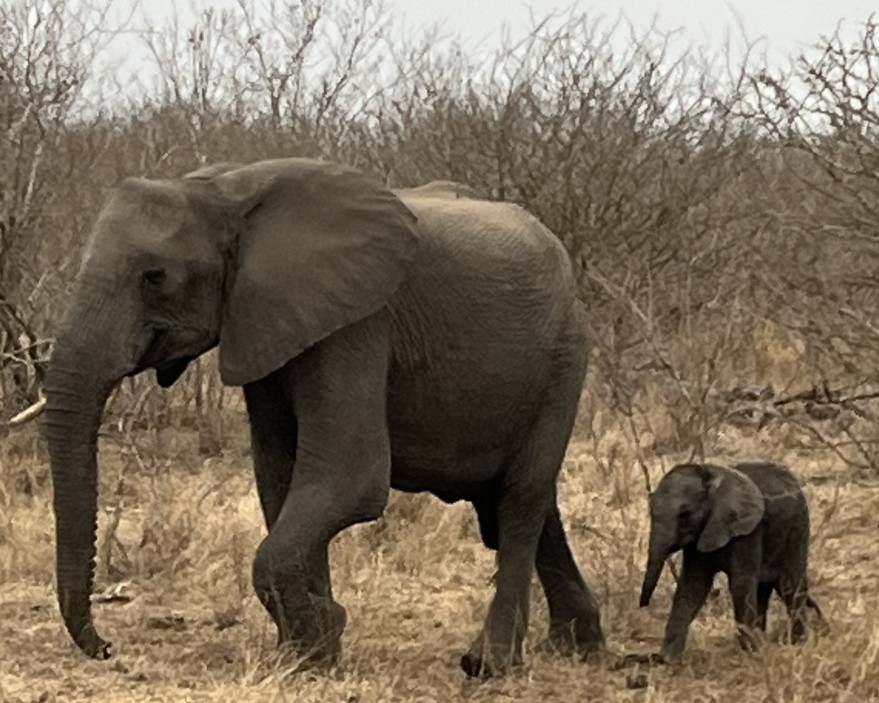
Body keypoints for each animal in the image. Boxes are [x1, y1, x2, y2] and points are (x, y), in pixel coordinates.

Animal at [41, 157, 605, 677]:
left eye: (154, 277)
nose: (106, 647)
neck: (224, 191)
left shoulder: (358, 324)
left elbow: (349, 477)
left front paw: (323, 628)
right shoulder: (266, 323)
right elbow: (281, 477)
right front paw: (309, 656)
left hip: (565, 357)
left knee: (520, 498)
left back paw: (489, 664)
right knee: (523, 500)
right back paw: (578, 647)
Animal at [639, 461, 826, 662]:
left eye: (685, 514)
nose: (643, 605)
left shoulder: (747, 532)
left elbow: (740, 584)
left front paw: (751, 654)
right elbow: (693, 587)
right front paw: (667, 660)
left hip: (797, 528)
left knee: (789, 585)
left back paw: (797, 642)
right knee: (765, 589)